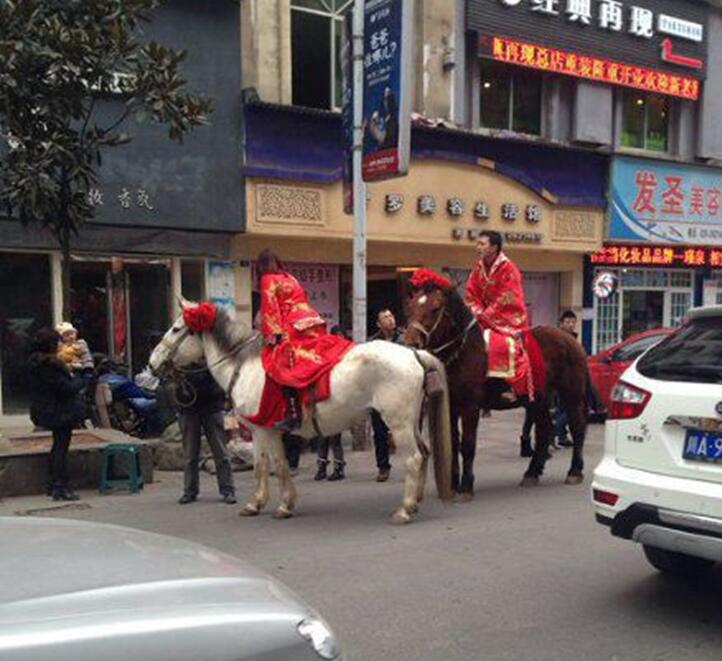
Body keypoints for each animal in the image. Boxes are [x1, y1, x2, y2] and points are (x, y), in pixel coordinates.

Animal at [148, 301, 453, 524]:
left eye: (176, 328)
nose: (152, 363)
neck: (244, 367)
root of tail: (414, 353)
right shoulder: (268, 431)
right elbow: (272, 465)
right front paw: (268, 504)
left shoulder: (262, 429)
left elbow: (270, 465)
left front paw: (271, 504)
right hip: (413, 421)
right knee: (425, 453)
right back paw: (415, 502)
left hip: (398, 423)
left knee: (414, 458)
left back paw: (404, 509)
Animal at [404, 285, 588, 498]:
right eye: (411, 306)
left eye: (435, 308)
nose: (411, 342)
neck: (464, 351)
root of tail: (571, 339)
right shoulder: (452, 405)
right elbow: (454, 443)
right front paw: (453, 484)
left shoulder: (471, 407)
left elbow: (467, 444)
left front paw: (466, 486)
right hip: (538, 399)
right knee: (544, 430)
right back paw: (532, 472)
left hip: (572, 394)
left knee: (577, 427)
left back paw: (574, 471)